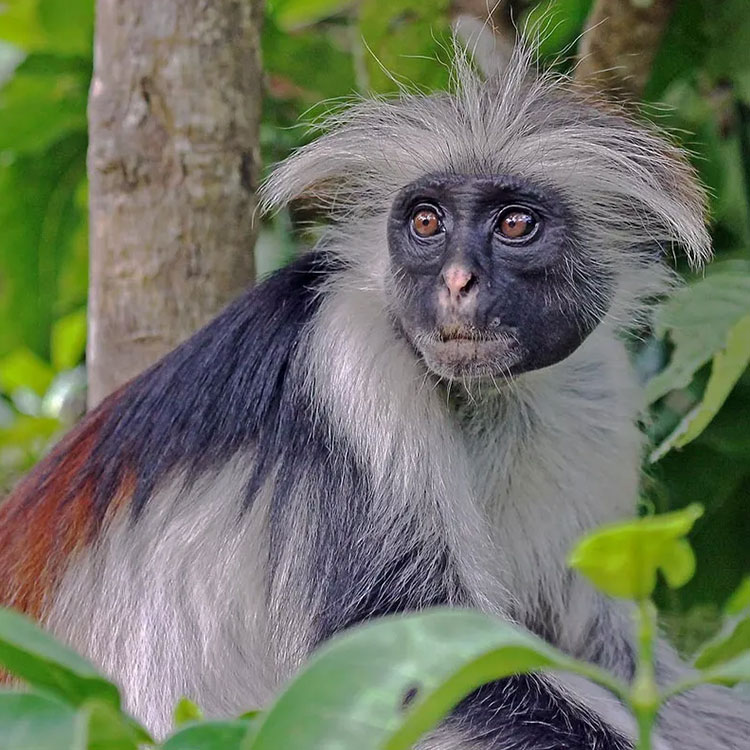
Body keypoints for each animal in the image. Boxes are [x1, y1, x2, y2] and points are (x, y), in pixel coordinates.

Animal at [0, 40, 748, 749]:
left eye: (514, 225)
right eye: (426, 223)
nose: (457, 281)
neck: (480, 399)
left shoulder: (599, 389)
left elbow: (606, 649)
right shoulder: (354, 359)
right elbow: (408, 665)